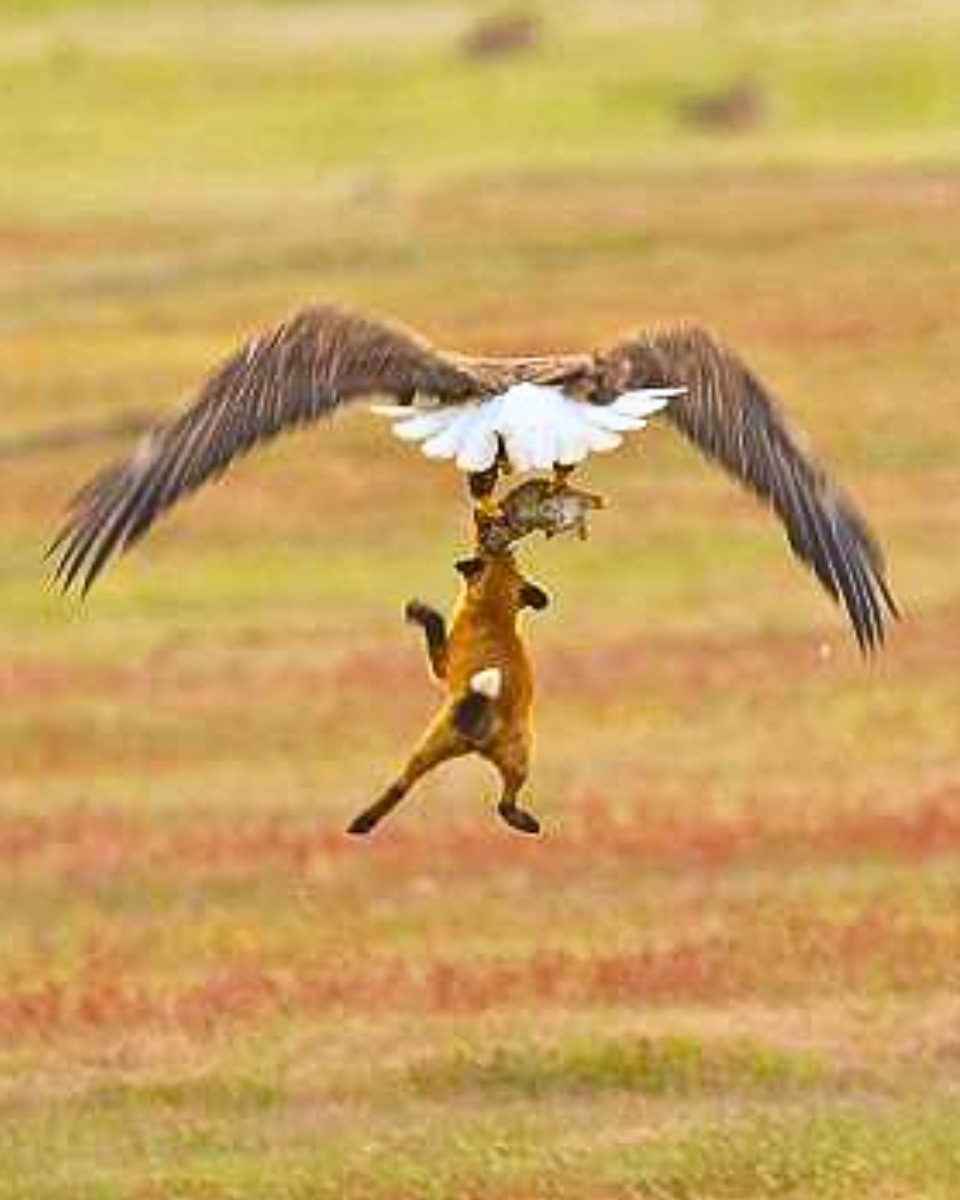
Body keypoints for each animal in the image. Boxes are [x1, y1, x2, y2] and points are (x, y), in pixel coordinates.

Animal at [346, 550, 549, 837]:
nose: (508, 550)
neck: (492, 615)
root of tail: (478, 742)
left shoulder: (441, 666)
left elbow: (435, 622)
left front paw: (418, 611)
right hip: (515, 756)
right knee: (500, 804)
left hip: (435, 741)